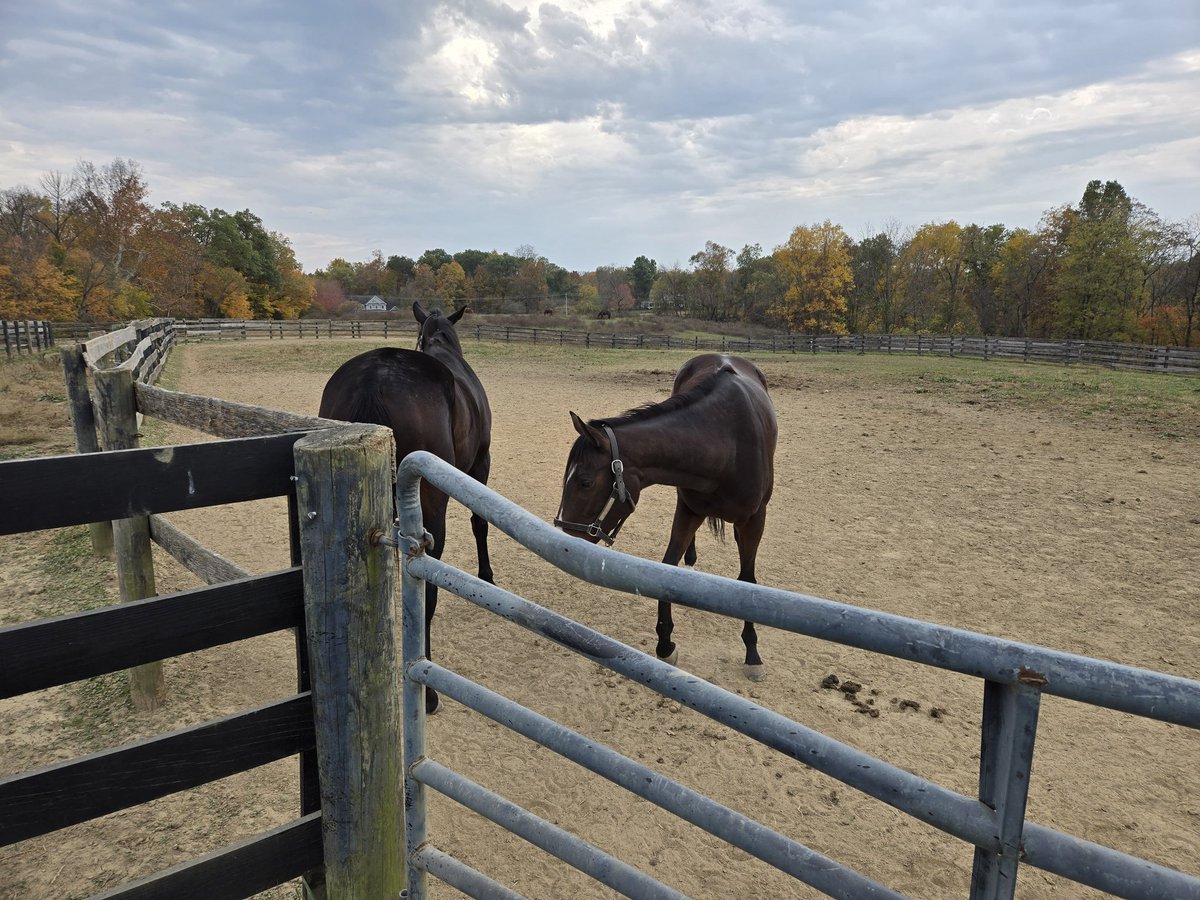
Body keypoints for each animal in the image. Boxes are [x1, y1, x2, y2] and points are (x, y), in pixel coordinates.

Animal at [318, 301, 493, 712]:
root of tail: (376, 379)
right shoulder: (481, 463)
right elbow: (480, 522)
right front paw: (486, 575)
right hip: (430, 505)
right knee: (426, 584)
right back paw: (427, 691)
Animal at [553, 353, 777, 680]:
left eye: (584, 482)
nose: (564, 541)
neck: (727, 442)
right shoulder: (688, 510)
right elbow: (667, 570)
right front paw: (665, 644)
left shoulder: (754, 520)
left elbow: (747, 582)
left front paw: (752, 653)